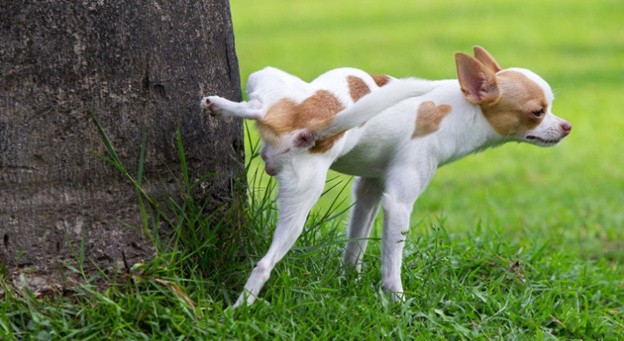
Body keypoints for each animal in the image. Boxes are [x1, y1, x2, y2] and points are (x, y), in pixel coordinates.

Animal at [199, 46, 572, 306]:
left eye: (551, 108)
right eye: (537, 112)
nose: (567, 126)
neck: (459, 109)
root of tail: (313, 124)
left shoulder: (369, 190)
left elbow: (356, 242)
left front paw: (348, 280)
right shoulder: (398, 203)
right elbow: (392, 263)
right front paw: (397, 303)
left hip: (280, 126)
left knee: (259, 109)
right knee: (264, 263)